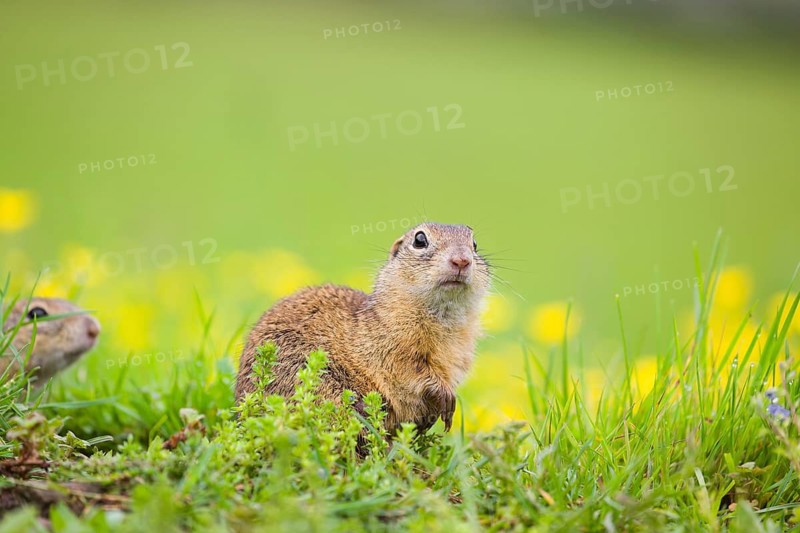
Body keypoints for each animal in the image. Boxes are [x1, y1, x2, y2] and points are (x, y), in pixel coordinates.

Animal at [235, 222, 490, 434]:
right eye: (420, 239)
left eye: (475, 244)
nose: (461, 260)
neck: (443, 316)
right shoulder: (393, 348)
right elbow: (414, 372)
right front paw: (446, 401)